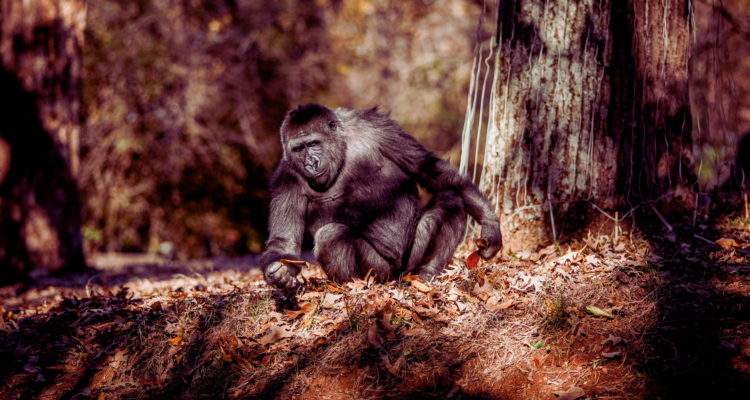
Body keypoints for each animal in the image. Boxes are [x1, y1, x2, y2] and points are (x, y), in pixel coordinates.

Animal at [259, 104, 502, 289]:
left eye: (312, 144)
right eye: (298, 149)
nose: (310, 163)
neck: (342, 148)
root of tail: (395, 278)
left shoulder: (378, 128)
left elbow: (430, 171)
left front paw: (490, 224)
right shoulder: (286, 178)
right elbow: (285, 242)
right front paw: (277, 272)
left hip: (409, 261)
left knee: (451, 199)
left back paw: (428, 272)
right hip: (381, 272)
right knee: (331, 235)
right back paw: (355, 287)